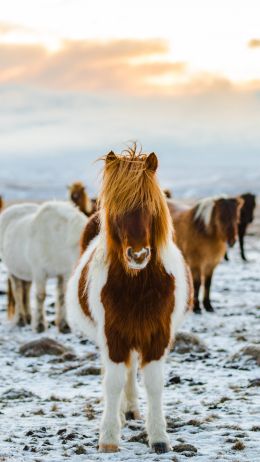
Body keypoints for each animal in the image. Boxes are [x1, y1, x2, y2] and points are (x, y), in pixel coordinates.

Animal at [0, 202, 87, 332]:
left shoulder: (64, 273)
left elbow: (62, 296)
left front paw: (64, 325)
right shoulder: (39, 272)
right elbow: (41, 296)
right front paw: (39, 325)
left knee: (26, 290)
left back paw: (28, 317)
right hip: (13, 271)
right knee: (18, 291)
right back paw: (20, 320)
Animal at [66, 149, 193, 454]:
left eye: (150, 206)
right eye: (117, 209)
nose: (138, 255)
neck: (137, 286)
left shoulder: (157, 336)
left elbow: (154, 383)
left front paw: (159, 437)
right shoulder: (113, 336)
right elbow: (112, 382)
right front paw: (109, 437)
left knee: (131, 369)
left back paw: (131, 410)